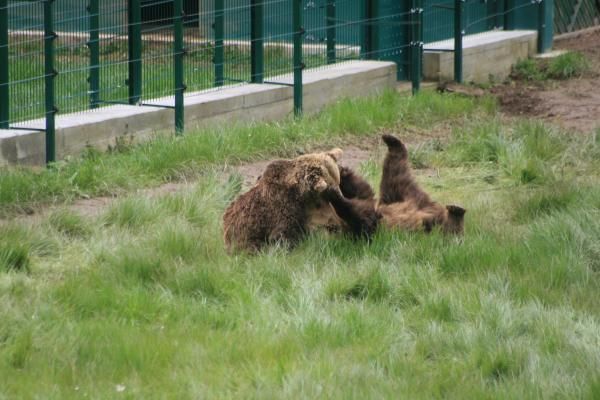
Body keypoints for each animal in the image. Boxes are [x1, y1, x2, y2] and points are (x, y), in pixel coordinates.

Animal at [223, 148, 378, 252]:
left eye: (337, 180)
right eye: (331, 182)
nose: (338, 191)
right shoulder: (284, 207)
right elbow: (283, 236)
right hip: (245, 240)